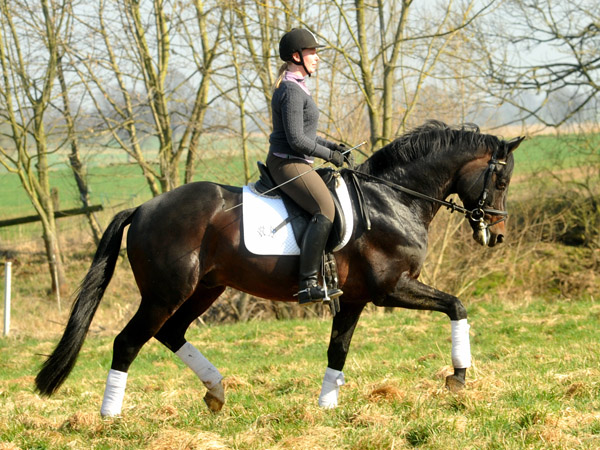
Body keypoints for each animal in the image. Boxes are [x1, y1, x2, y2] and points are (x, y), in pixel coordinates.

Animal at [36, 120, 524, 418]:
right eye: (501, 180)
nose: (497, 236)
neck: (393, 197)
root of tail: (143, 208)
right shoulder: (391, 288)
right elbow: (456, 305)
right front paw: (458, 378)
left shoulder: (355, 299)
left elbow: (337, 351)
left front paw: (327, 407)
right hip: (164, 293)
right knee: (127, 342)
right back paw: (110, 416)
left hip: (205, 289)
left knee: (171, 333)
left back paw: (217, 391)